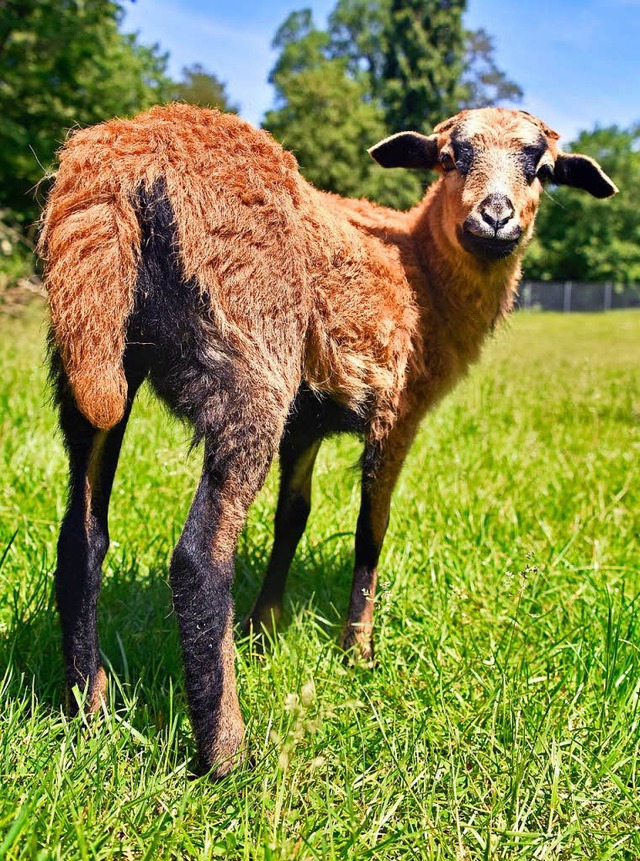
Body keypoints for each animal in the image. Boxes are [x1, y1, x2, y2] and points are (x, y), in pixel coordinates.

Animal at [38, 104, 616, 776]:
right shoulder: (397, 411)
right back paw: (226, 752)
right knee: (198, 559)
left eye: (542, 169)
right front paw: (357, 649)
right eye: (451, 158)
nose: (494, 217)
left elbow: (293, 516)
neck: (423, 273)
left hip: (92, 355)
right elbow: (372, 527)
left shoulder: (306, 422)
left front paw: (264, 628)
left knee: (82, 538)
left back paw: (88, 709)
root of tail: (120, 165)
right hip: (250, 363)